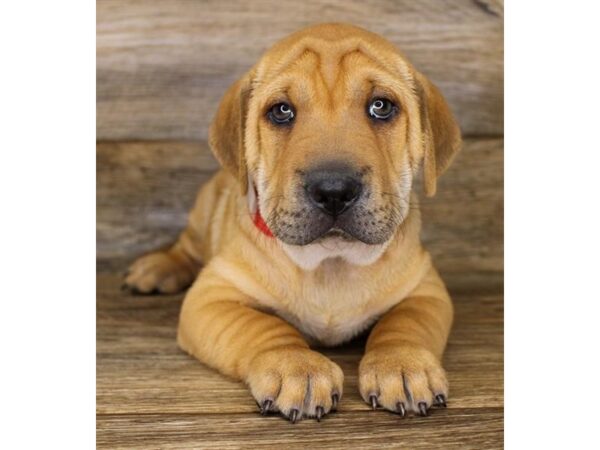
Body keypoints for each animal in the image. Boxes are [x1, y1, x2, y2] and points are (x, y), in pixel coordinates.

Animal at [123, 22, 460, 424]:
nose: (333, 189)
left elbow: (405, 324)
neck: (330, 261)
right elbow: (264, 326)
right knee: (187, 247)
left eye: (381, 106)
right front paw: (297, 366)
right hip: (203, 210)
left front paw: (402, 363)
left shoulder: (426, 289)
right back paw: (157, 268)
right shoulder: (211, 298)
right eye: (281, 111)